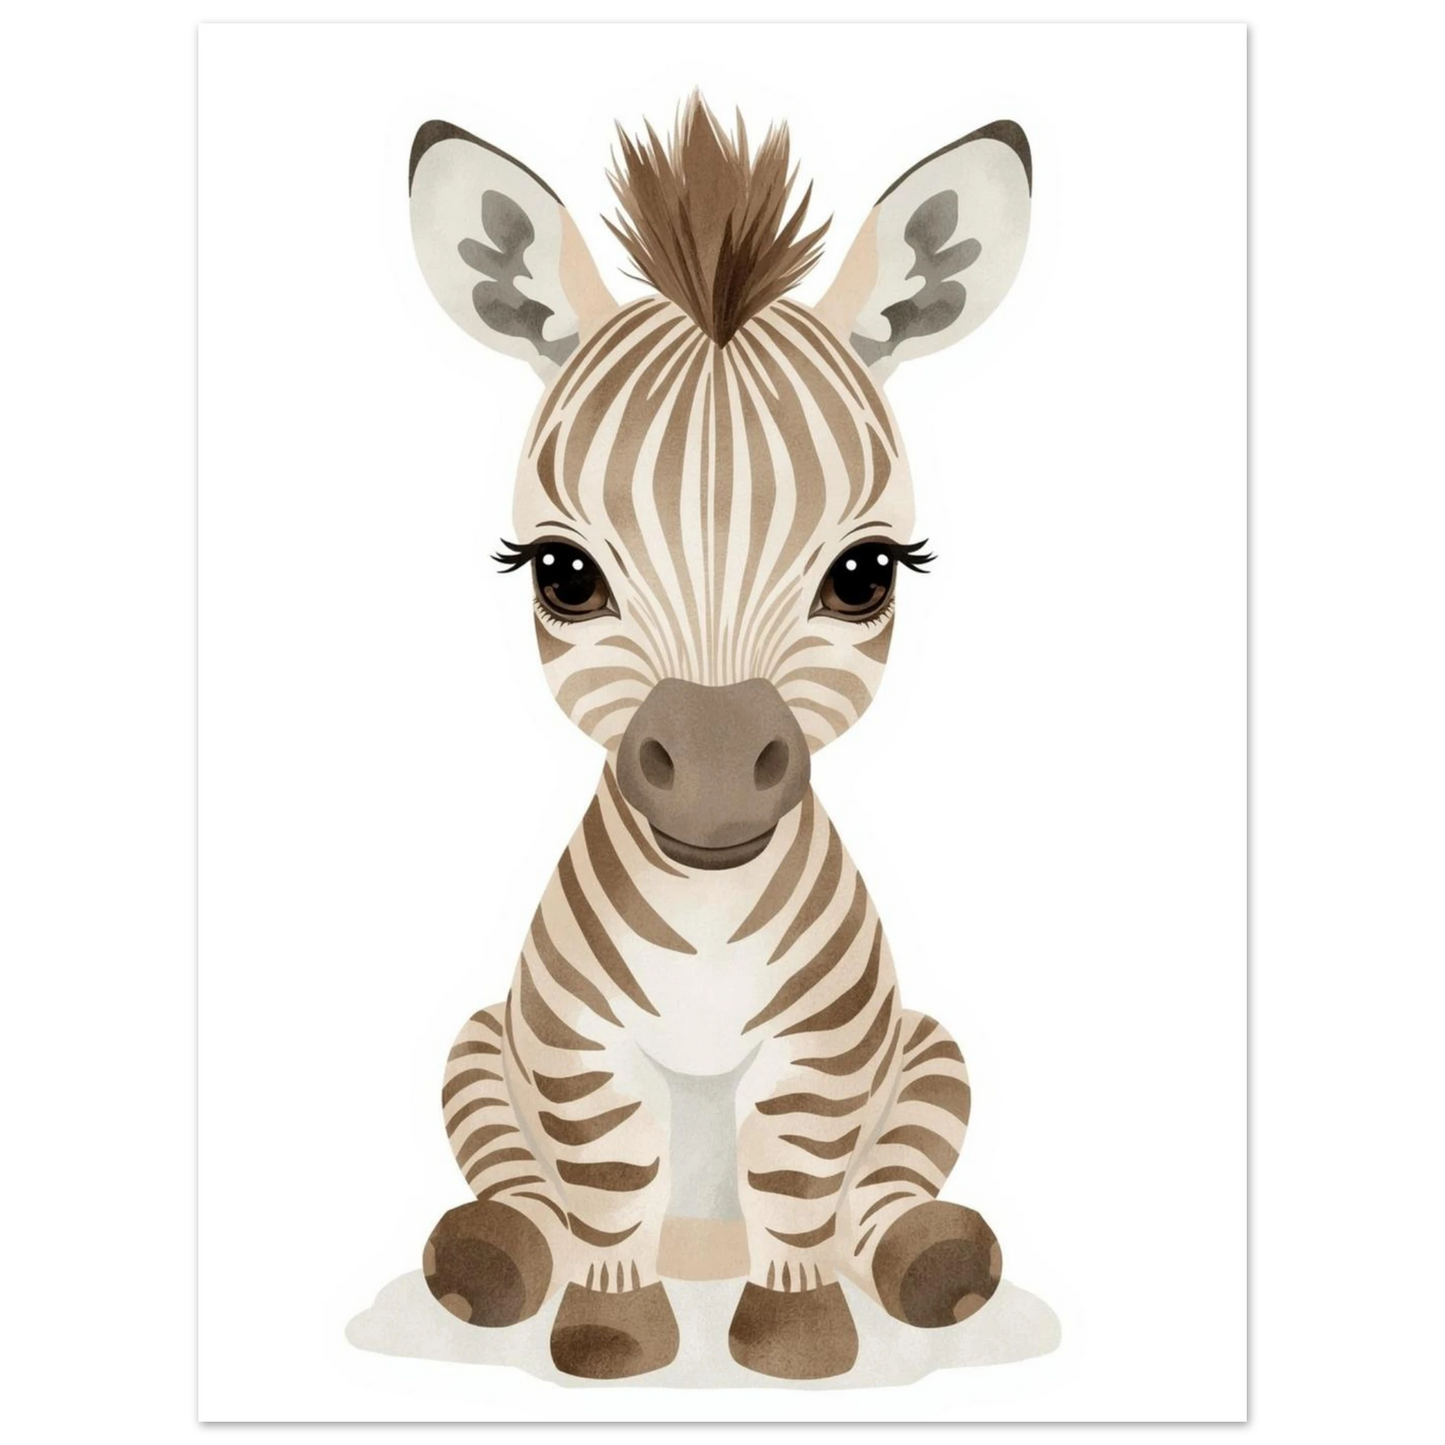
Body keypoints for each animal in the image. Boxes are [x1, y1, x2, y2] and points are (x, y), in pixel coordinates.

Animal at [407, 95, 1031, 1382]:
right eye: (560, 572)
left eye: (865, 572)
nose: (706, 779)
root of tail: (703, 1244)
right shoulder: (571, 1046)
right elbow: (602, 1184)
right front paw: (607, 1334)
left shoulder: (829, 1049)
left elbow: (796, 1182)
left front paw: (796, 1338)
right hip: (480, 1041)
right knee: (520, 1179)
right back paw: (492, 1256)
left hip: (928, 1046)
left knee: (882, 1186)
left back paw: (930, 1259)